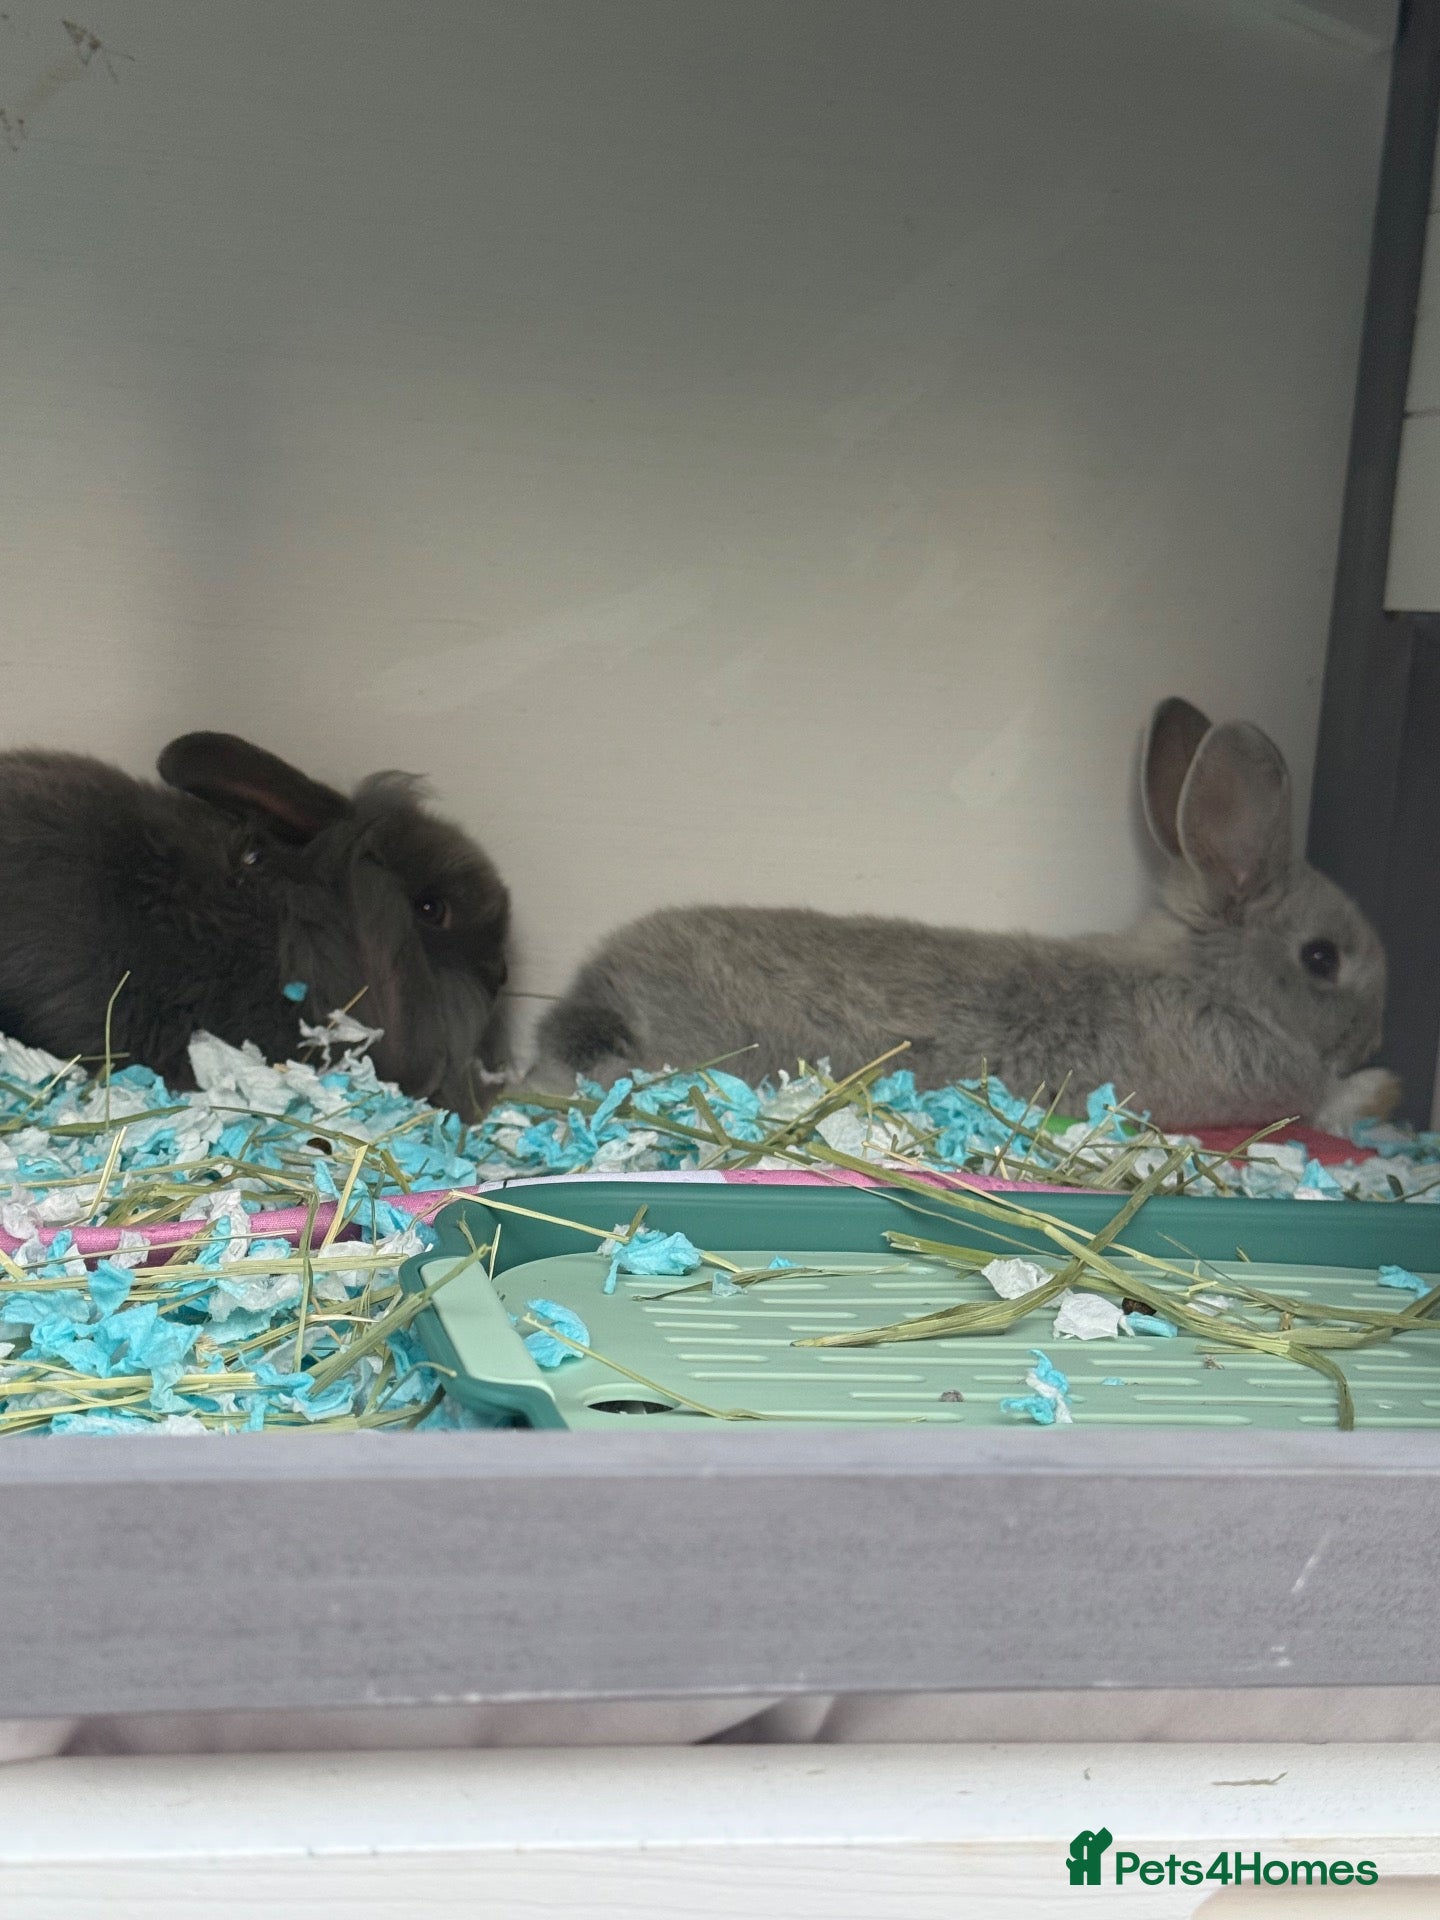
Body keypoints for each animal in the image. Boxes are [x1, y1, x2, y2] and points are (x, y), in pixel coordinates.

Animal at [530, 698, 1399, 1133]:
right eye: (1322, 957)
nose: (1376, 1036)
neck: (1209, 980)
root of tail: (588, 1004)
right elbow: (1322, 1104)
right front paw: (1377, 1090)